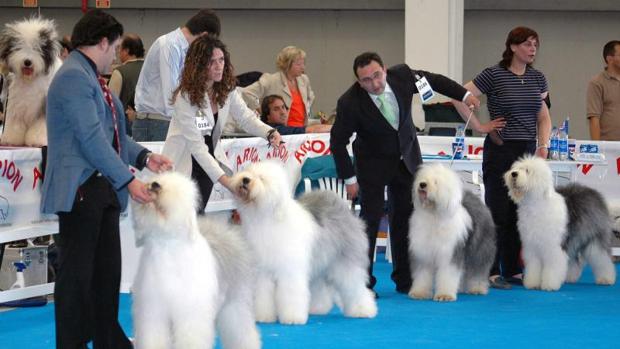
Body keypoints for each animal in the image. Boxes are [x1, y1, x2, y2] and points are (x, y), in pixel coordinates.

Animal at [0, 17, 61, 145]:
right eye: (19, 47)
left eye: (36, 48)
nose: (27, 62)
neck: (31, 79)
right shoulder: (17, 104)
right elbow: (14, 122)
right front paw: (11, 138)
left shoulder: (44, 105)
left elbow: (41, 124)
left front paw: (37, 140)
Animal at [132, 172, 260, 348]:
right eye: (157, 178)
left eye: (177, 191)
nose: (155, 184)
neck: (167, 245)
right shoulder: (154, 308)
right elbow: (154, 335)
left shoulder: (191, 310)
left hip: (235, 301)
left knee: (243, 329)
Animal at [230, 160, 378, 324]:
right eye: (249, 171)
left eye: (262, 178)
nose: (245, 179)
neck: (268, 216)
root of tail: (342, 206)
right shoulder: (263, 271)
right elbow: (263, 294)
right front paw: (264, 316)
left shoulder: (290, 269)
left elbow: (291, 292)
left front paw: (292, 317)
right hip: (320, 262)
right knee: (320, 286)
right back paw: (318, 308)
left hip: (345, 261)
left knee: (355, 286)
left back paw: (363, 310)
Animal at [410, 162, 496, 300]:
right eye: (423, 178)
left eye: (436, 182)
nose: (422, 184)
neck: (434, 214)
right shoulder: (424, 253)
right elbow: (422, 274)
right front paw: (419, 293)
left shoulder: (450, 252)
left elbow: (448, 274)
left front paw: (444, 295)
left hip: (480, 249)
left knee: (478, 269)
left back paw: (477, 288)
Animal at [504, 156, 616, 290]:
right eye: (518, 168)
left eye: (527, 170)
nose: (513, 174)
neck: (536, 204)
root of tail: (595, 193)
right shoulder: (532, 246)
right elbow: (534, 265)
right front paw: (533, 283)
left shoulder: (553, 245)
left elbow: (553, 264)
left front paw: (549, 285)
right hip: (573, 238)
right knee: (573, 259)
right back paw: (570, 277)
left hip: (594, 237)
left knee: (601, 257)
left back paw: (606, 278)